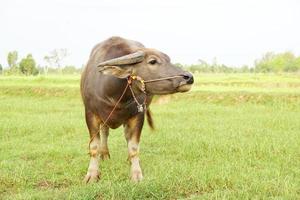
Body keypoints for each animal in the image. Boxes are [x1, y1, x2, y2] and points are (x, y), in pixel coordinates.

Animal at [80, 36, 192, 183]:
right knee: (105, 132)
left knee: (126, 136)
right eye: (152, 61)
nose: (189, 77)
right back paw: (104, 154)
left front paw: (136, 174)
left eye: (169, 60)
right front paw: (92, 175)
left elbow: (133, 146)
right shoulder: (90, 114)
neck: (114, 95)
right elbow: (94, 146)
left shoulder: (138, 115)